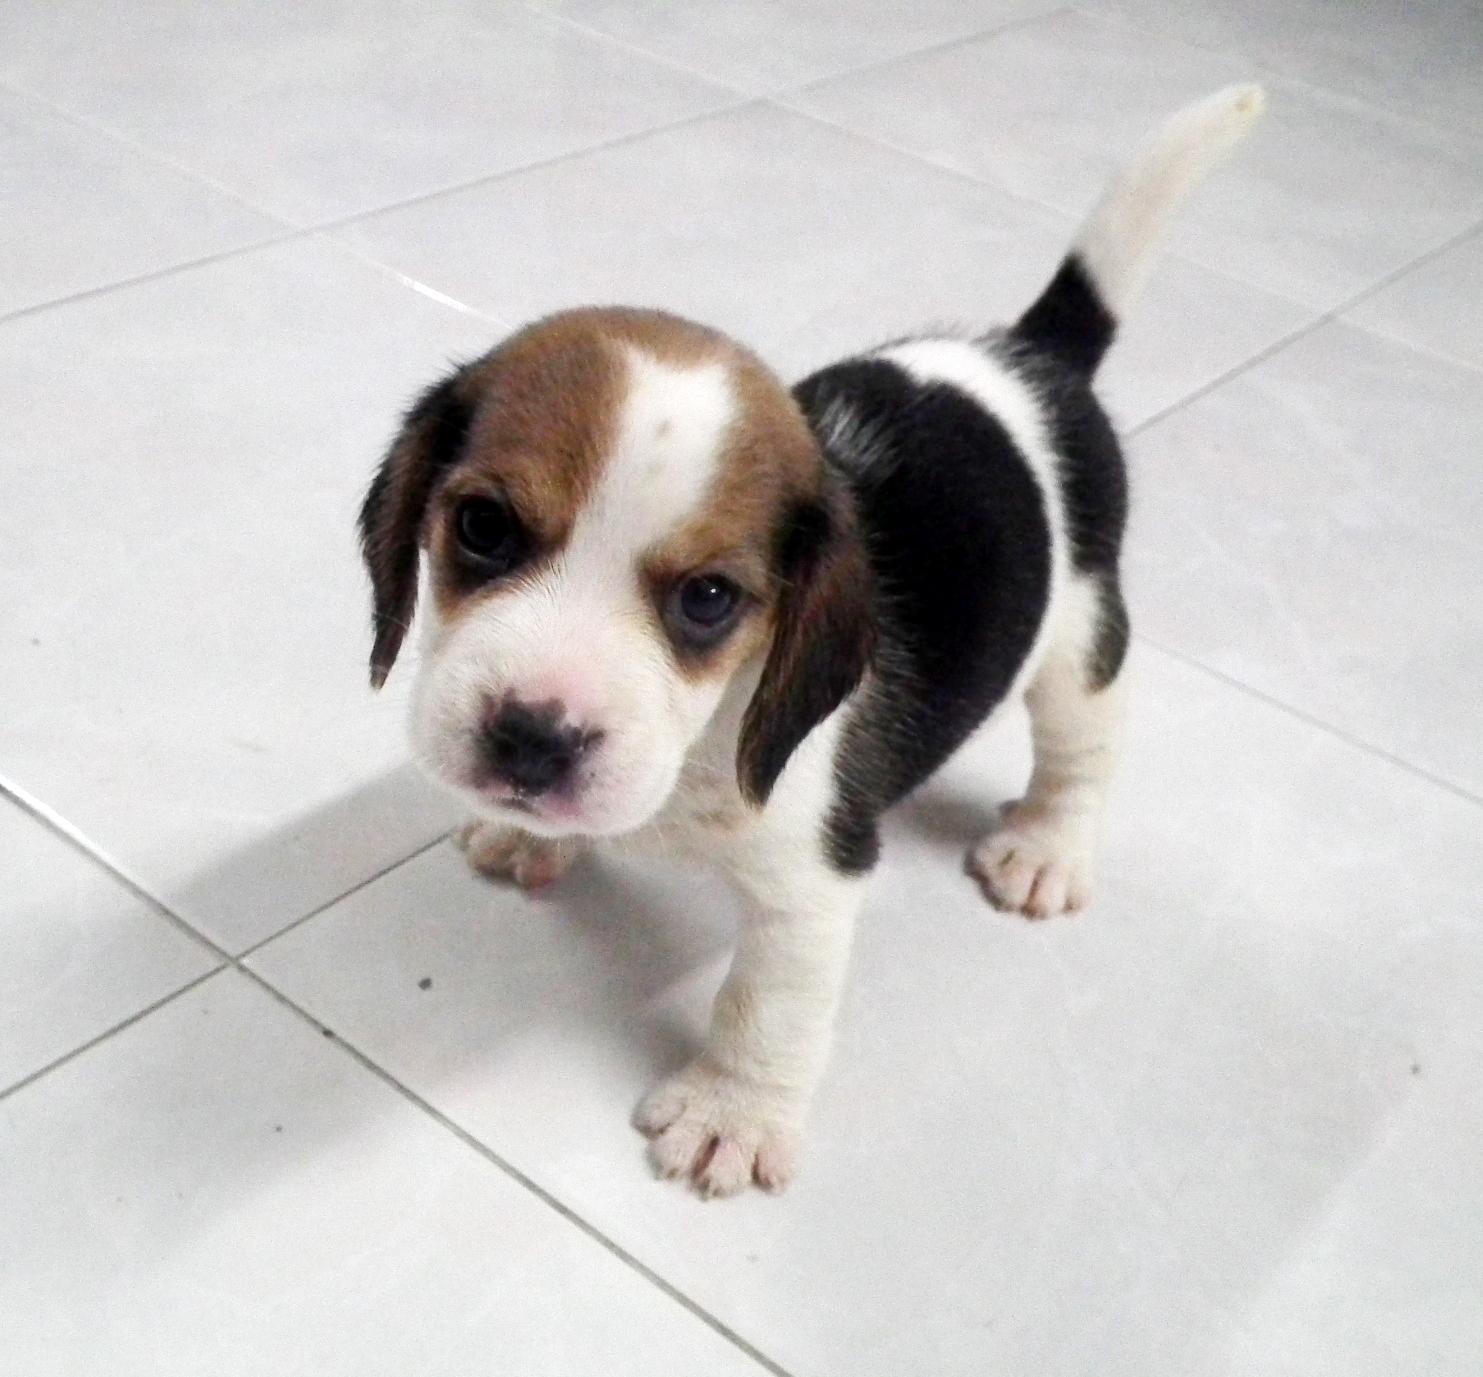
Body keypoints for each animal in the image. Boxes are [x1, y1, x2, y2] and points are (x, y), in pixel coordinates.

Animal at [358, 86, 1266, 1198]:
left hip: (1081, 638)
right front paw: (534, 833)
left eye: (709, 599)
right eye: (482, 528)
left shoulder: (813, 879)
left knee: (1082, 746)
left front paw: (732, 1114)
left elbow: (767, 1006)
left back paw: (1048, 845)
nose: (533, 736)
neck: (699, 747)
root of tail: (1031, 359)